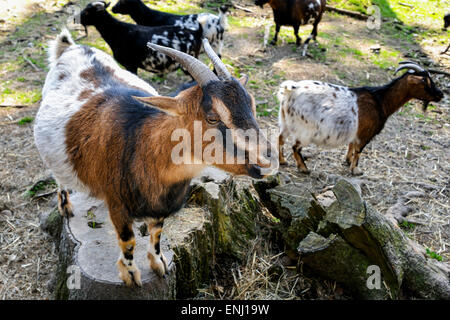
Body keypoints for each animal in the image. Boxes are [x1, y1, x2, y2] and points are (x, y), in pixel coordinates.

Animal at [34, 29, 278, 284]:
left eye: (251, 105)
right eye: (212, 117)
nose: (268, 160)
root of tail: (72, 47)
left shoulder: (162, 205)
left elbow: (157, 231)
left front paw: (159, 264)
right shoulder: (119, 205)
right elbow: (128, 240)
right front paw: (131, 275)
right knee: (58, 176)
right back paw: (65, 206)